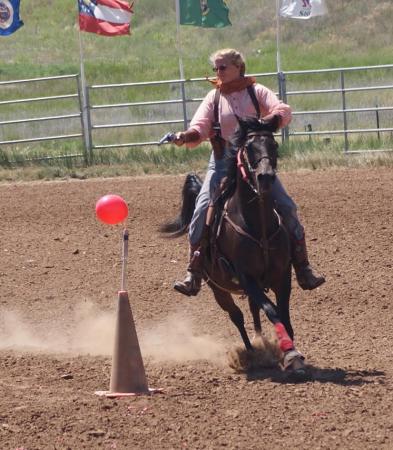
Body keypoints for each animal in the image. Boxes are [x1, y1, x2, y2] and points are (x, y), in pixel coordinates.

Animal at [160, 118, 306, 378]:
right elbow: (272, 311)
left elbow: (283, 313)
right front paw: (289, 354)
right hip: (218, 288)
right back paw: (251, 352)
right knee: (237, 316)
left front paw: (292, 353)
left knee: (253, 311)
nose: (265, 177)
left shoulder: (282, 276)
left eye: (274, 145)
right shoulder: (246, 278)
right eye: (248, 148)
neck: (258, 225)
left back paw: (261, 343)